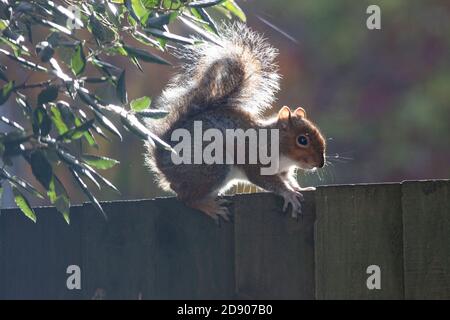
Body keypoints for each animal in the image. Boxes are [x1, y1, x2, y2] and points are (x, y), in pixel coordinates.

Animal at [146, 22, 326, 221]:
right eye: (302, 140)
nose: (321, 163)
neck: (276, 145)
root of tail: (162, 161)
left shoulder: (283, 171)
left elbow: (288, 180)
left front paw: (299, 188)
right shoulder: (256, 162)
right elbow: (268, 181)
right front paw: (289, 194)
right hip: (213, 165)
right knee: (186, 198)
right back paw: (211, 207)